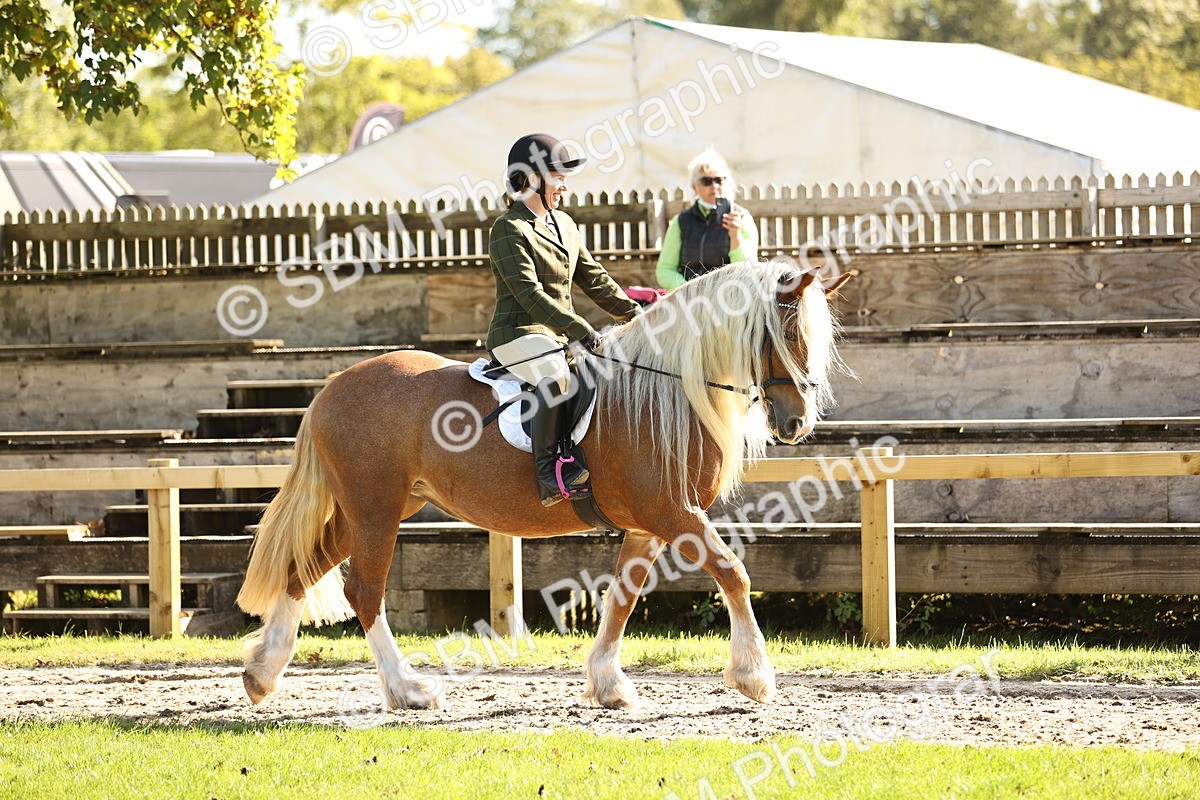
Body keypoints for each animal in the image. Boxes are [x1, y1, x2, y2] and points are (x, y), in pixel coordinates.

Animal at [235, 259, 850, 711]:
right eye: (784, 333)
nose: (796, 425)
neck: (667, 388)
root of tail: (333, 384)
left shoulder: (649, 526)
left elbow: (622, 597)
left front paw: (608, 684)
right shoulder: (673, 513)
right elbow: (734, 573)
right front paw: (753, 675)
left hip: (374, 507)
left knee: (301, 569)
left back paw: (262, 674)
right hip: (376, 510)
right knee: (363, 590)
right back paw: (407, 690)